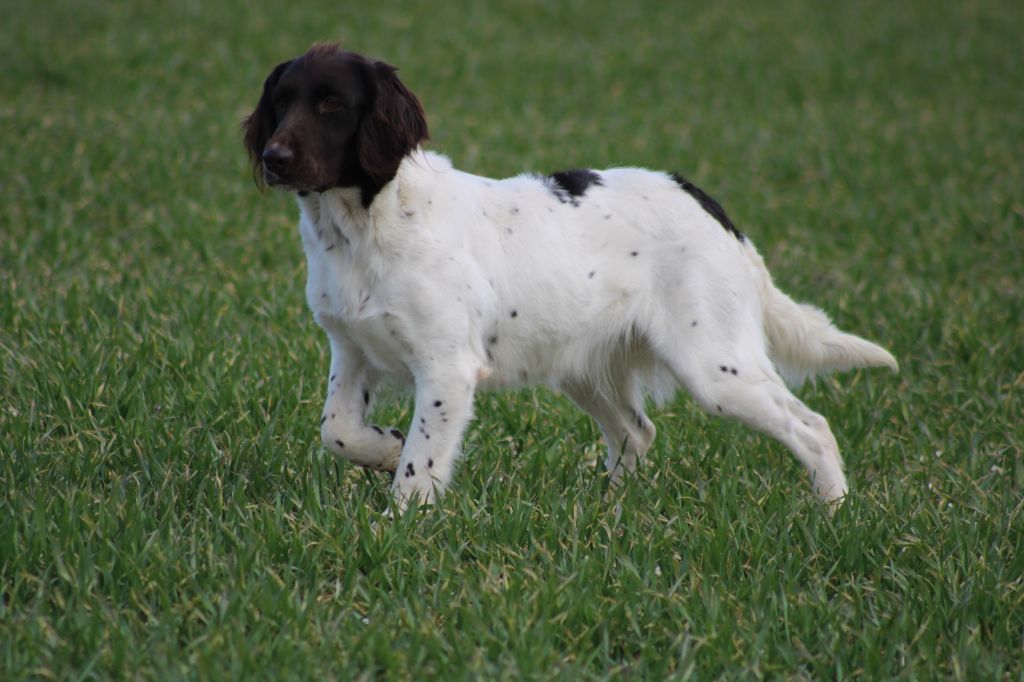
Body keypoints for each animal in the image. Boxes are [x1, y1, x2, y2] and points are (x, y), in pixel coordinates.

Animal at [241, 42, 897, 509]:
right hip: (583, 365)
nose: (274, 158)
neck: (367, 225)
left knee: (812, 426)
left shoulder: (447, 368)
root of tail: (709, 204)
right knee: (637, 431)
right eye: (282, 103)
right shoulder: (351, 348)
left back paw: (834, 509)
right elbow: (337, 430)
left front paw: (398, 524)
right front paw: (383, 449)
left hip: (714, 367)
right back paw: (609, 509)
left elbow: (420, 468)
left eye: (332, 104)